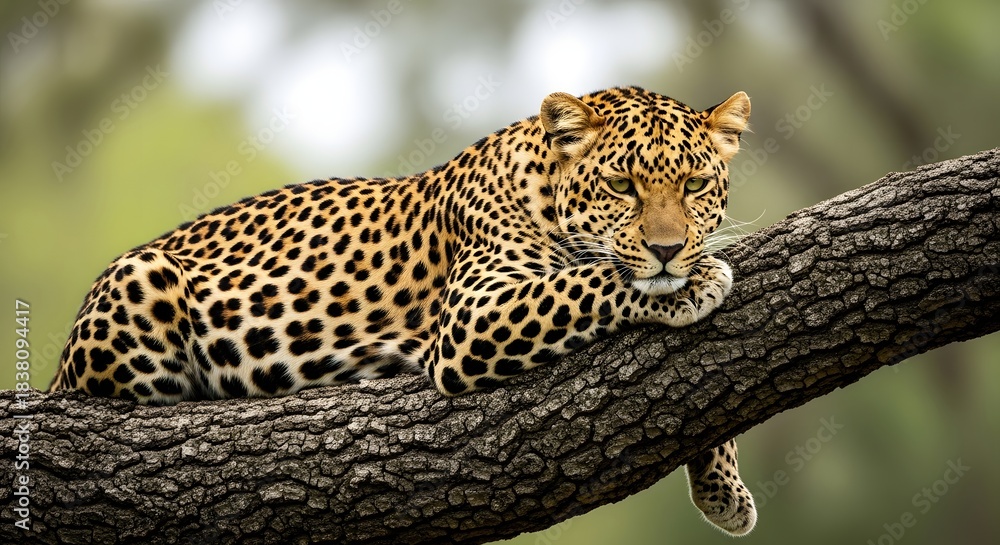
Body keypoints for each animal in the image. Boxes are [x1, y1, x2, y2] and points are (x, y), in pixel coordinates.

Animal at [49, 86, 755, 535]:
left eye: (695, 184)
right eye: (620, 185)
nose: (667, 249)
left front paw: (723, 490)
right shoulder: (476, 314)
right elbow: (592, 279)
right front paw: (693, 280)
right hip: (142, 276)